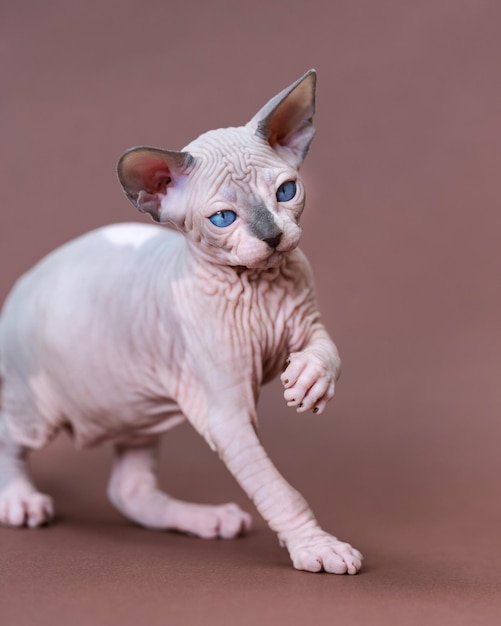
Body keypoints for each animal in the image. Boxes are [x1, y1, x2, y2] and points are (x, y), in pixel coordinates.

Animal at [0, 70, 362, 572]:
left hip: (135, 409)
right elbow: (276, 489)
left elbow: (328, 350)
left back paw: (206, 520)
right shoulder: (227, 413)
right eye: (223, 218)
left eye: (286, 192)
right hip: (39, 408)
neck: (259, 286)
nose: (272, 236)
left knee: (128, 491)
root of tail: (21, 285)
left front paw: (311, 380)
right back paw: (20, 499)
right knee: (9, 436)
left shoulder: (307, 319)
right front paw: (317, 547)